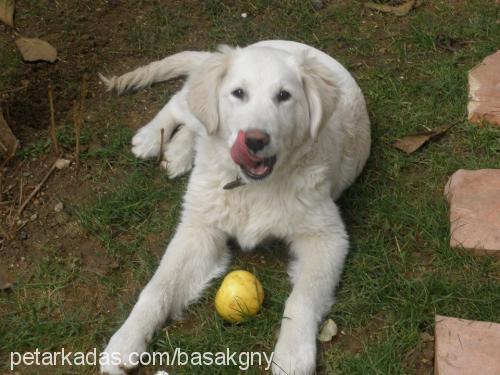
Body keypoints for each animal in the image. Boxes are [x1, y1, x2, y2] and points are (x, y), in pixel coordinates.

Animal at [98, 40, 372, 375]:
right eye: (239, 93)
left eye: (284, 96)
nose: (254, 140)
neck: (250, 187)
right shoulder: (198, 231)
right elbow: (157, 288)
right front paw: (125, 341)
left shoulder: (327, 236)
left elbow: (302, 298)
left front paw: (293, 355)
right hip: (196, 112)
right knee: (181, 103)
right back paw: (151, 138)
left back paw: (176, 154)